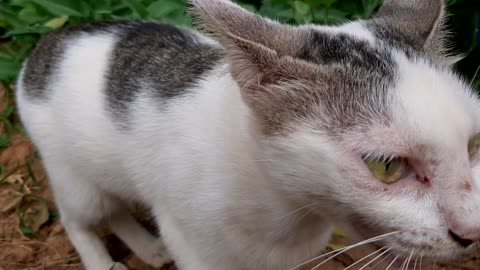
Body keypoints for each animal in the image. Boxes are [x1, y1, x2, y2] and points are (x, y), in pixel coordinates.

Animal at [14, 0, 480, 268]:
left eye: (473, 145)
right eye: (387, 166)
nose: (473, 232)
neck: (286, 209)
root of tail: (51, 39)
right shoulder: (193, 243)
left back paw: (148, 248)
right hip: (73, 176)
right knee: (79, 218)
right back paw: (104, 260)